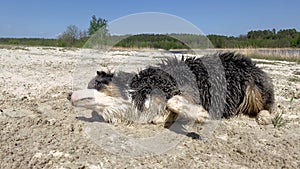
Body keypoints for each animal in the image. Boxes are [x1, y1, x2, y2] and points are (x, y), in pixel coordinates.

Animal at [68, 52, 274, 125]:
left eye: (95, 84)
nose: (68, 94)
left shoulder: (186, 87)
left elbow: (173, 101)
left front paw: (199, 114)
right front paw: (165, 117)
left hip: (253, 89)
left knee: (268, 107)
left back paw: (264, 117)